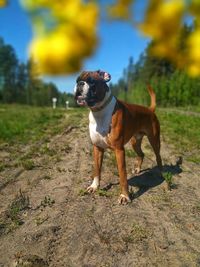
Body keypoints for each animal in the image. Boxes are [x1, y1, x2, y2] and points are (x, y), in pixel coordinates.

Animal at [74, 70, 162, 204]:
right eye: (77, 80)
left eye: (92, 82)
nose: (80, 84)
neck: (99, 111)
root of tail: (149, 110)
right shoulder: (97, 148)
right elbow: (97, 169)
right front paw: (94, 186)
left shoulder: (119, 150)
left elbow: (122, 174)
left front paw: (125, 196)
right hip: (135, 142)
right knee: (141, 154)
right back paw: (137, 169)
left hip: (154, 141)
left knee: (158, 157)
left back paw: (162, 174)